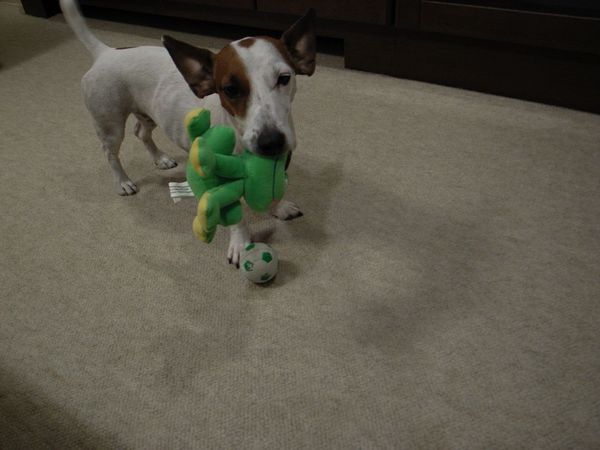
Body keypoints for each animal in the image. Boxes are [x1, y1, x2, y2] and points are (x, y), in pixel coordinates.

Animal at [59, 0, 315, 266]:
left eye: (284, 78)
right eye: (230, 89)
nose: (271, 141)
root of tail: (106, 52)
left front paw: (278, 207)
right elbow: (237, 218)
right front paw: (241, 243)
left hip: (150, 114)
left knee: (141, 132)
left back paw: (160, 158)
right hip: (109, 123)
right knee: (110, 153)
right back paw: (123, 181)